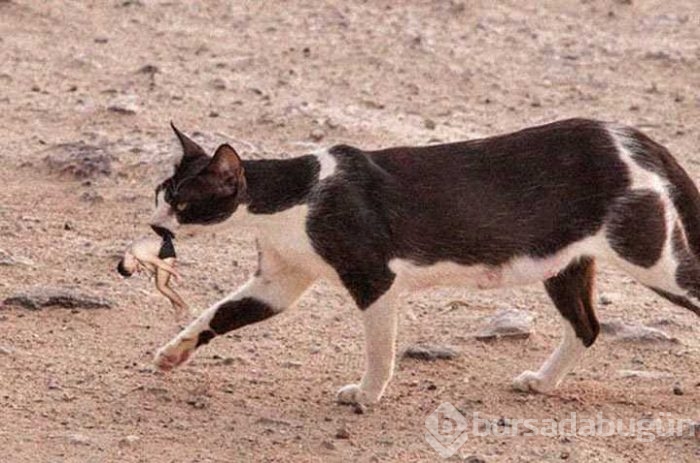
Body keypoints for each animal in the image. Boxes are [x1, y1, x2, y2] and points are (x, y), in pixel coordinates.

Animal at [150, 119, 696, 406]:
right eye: (159, 193)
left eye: (181, 202)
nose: (155, 224)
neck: (295, 197)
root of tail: (626, 133)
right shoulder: (279, 280)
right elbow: (217, 314)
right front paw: (173, 352)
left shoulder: (373, 277)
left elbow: (379, 348)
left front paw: (366, 394)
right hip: (565, 263)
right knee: (587, 326)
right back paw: (541, 382)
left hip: (652, 257)